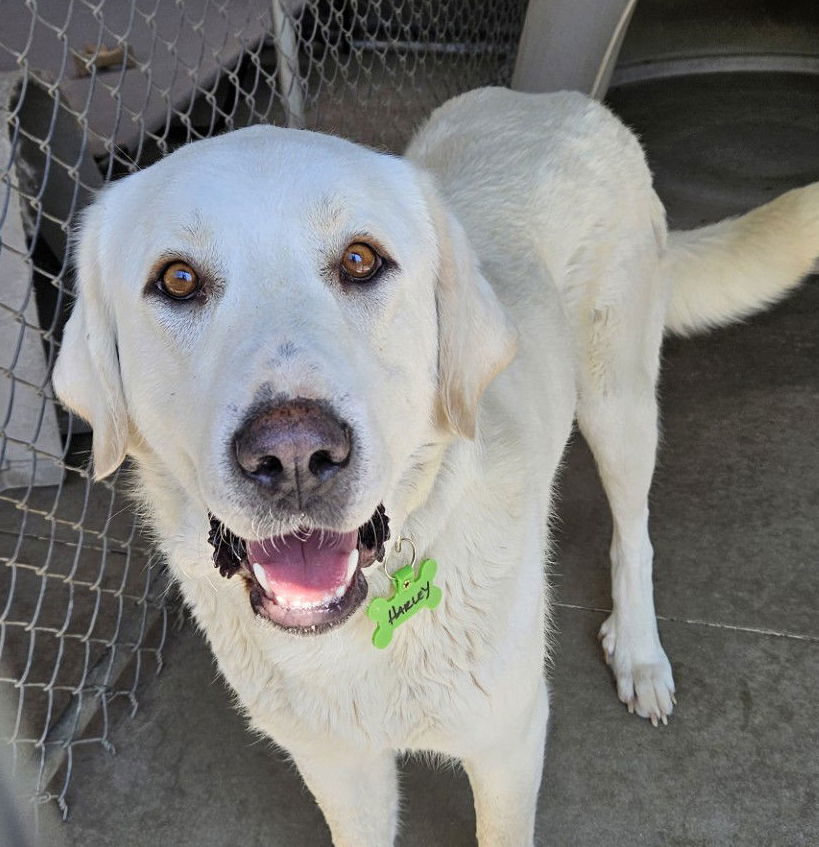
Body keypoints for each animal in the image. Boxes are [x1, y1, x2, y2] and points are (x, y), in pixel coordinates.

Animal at [52, 89, 819, 844]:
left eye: (361, 261)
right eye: (177, 279)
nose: (294, 454)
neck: (358, 630)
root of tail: (562, 99)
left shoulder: (509, 745)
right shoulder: (339, 770)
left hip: (618, 405)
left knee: (634, 531)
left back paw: (637, 648)